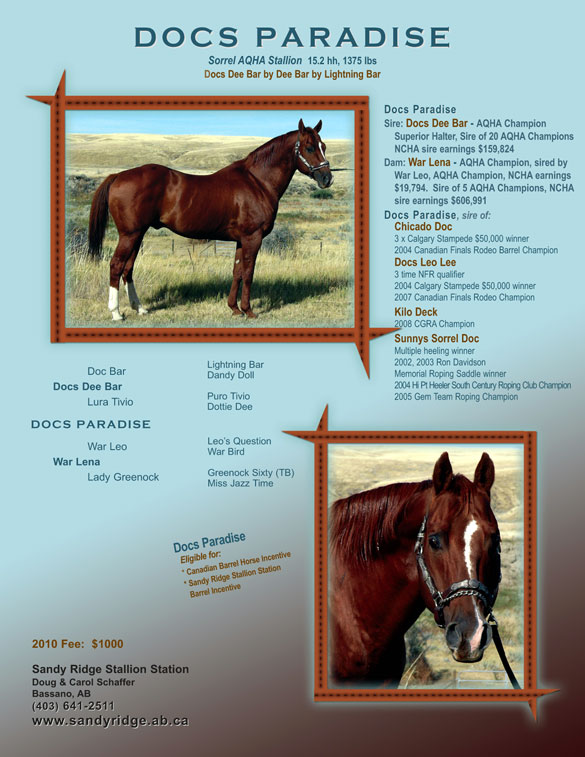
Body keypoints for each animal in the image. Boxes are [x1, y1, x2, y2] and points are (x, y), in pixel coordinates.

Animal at [87, 119, 333, 321]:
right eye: (309, 147)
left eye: (323, 146)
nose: (327, 178)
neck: (257, 182)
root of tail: (118, 176)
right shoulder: (252, 238)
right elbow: (248, 273)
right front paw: (249, 311)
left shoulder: (241, 240)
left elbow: (237, 272)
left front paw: (234, 308)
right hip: (129, 235)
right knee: (116, 265)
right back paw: (116, 313)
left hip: (138, 234)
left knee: (128, 268)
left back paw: (140, 308)